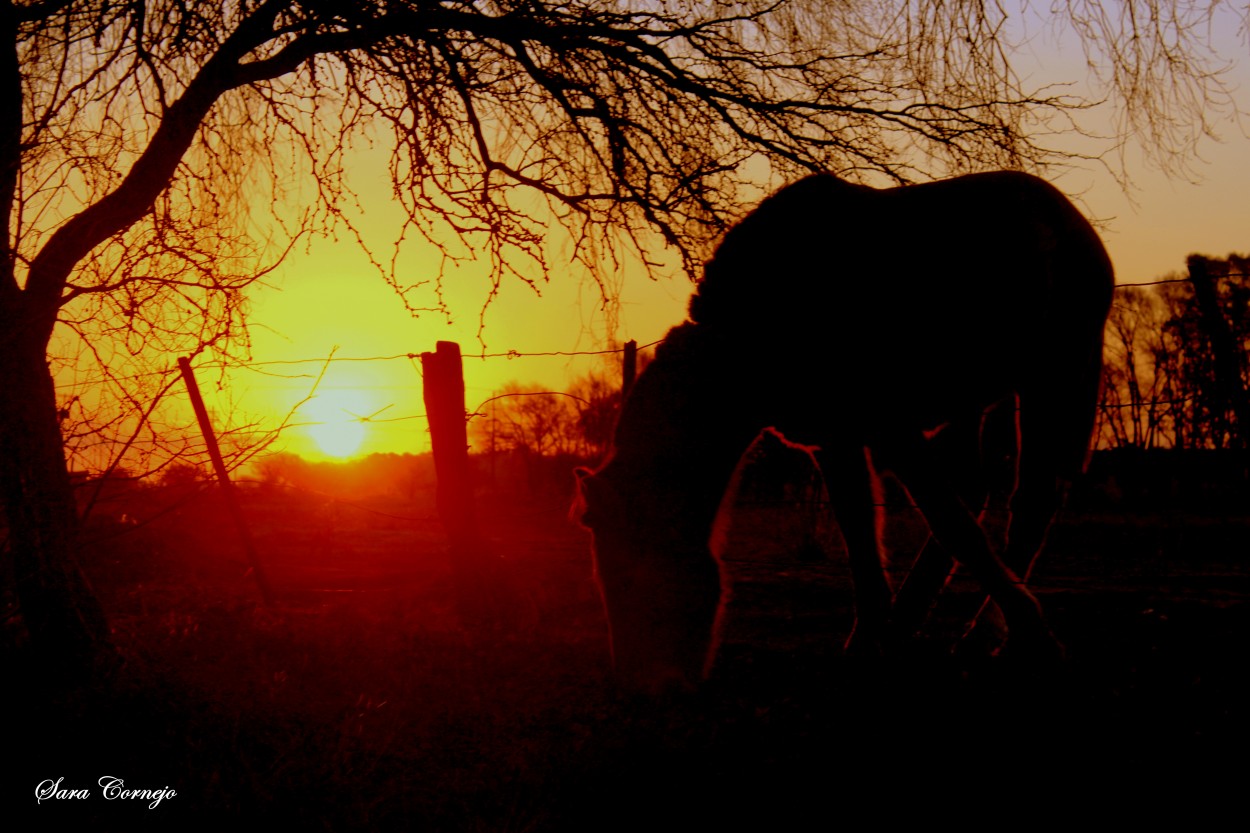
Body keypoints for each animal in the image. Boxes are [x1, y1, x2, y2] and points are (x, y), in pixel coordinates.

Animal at [575, 168, 1115, 685]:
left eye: (628, 577)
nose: (641, 681)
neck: (758, 331)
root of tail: (1071, 220)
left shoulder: (891, 430)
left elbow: (953, 526)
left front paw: (1039, 638)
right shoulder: (836, 440)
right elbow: (859, 534)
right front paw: (872, 641)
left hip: (1054, 378)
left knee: (1028, 504)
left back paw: (995, 640)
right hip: (975, 399)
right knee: (975, 487)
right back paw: (917, 623)